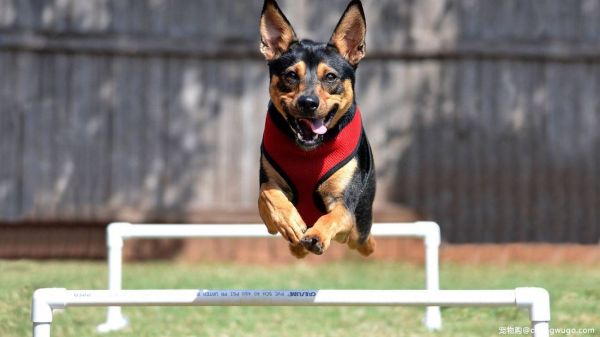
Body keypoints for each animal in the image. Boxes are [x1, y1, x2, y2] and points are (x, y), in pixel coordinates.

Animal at [256, 0, 376, 258]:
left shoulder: (345, 206)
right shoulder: (266, 195)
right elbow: (267, 193)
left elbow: (335, 215)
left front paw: (317, 236)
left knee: (363, 239)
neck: (308, 152)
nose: (308, 103)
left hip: (359, 229)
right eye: (291, 75)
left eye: (330, 76)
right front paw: (290, 222)